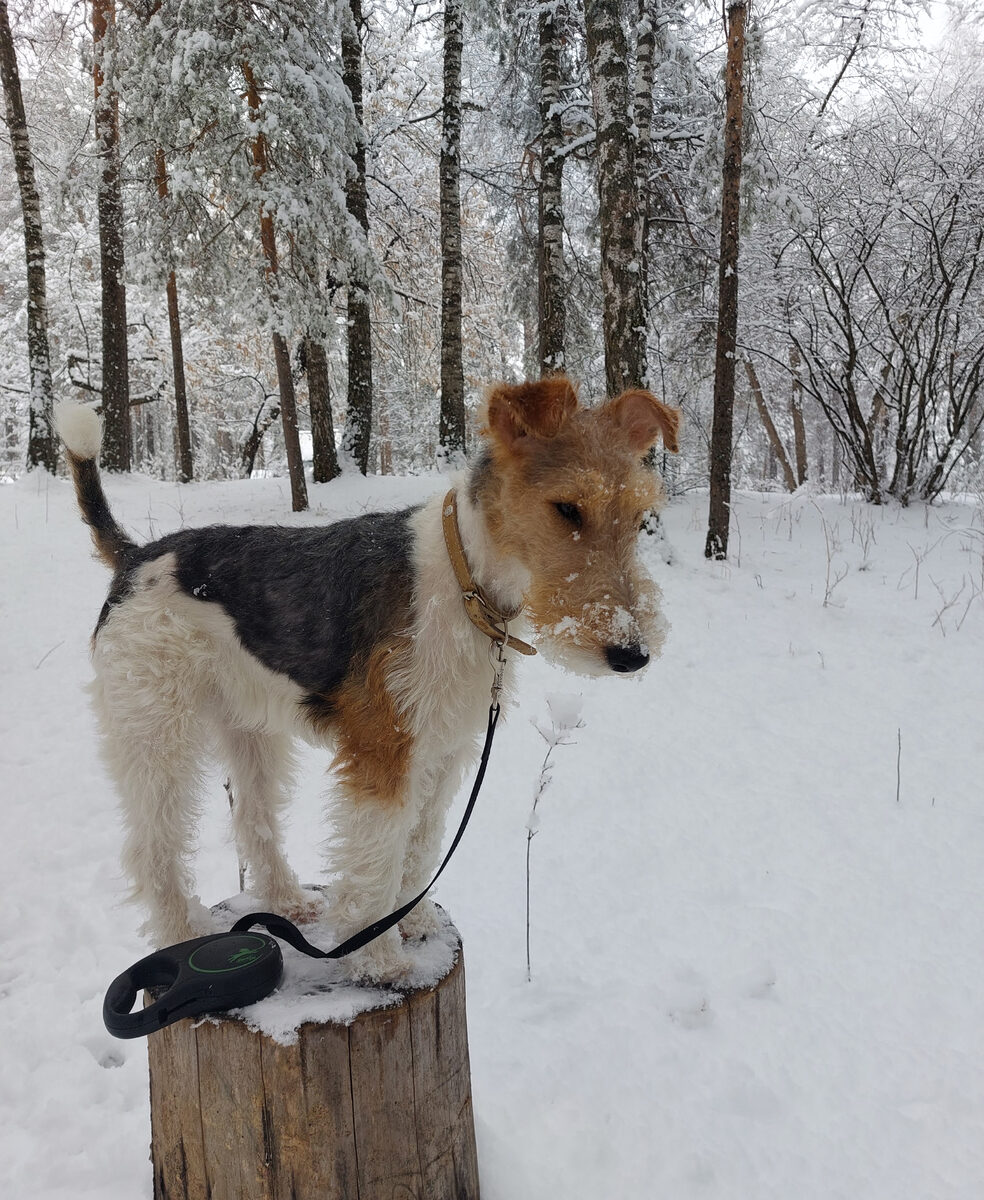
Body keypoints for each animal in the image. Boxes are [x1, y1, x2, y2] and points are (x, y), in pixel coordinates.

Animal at [57, 379, 681, 979]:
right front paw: (377, 957)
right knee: (152, 848)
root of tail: (136, 556)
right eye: (568, 508)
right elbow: (378, 858)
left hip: (250, 730)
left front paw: (414, 921)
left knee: (254, 821)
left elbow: (420, 846)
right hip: (156, 731)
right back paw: (182, 934)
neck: (465, 582)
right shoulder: (386, 748)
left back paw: (289, 901)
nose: (632, 654)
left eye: (638, 516)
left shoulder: (445, 749)